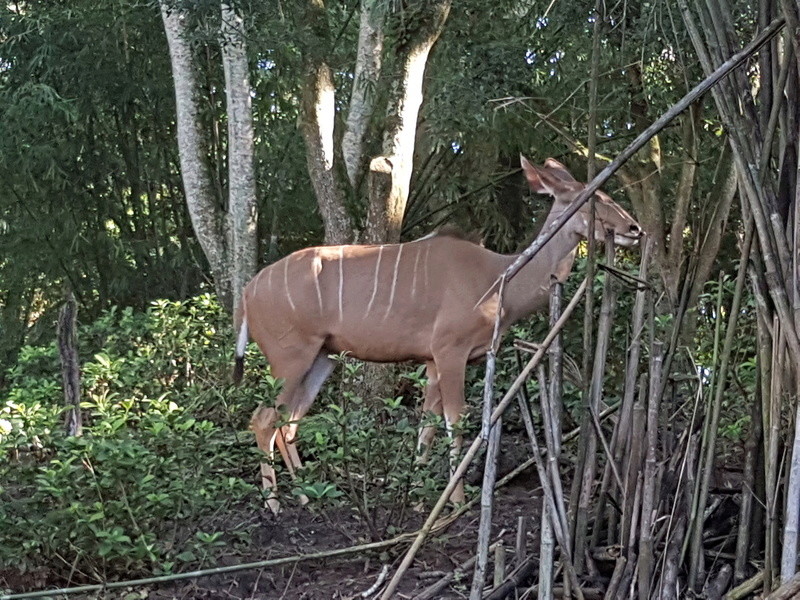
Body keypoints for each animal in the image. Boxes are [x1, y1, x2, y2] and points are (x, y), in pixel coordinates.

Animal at [233, 156, 644, 510]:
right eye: (595, 197)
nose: (634, 229)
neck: (501, 279)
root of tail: (248, 293)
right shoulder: (451, 351)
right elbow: (455, 421)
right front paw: (456, 501)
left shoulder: (431, 360)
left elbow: (427, 426)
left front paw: (417, 498)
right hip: (291, 355)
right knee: (264, 419)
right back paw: (274, 505)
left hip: (323, 357)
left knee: (288, 423)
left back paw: (307, 497)